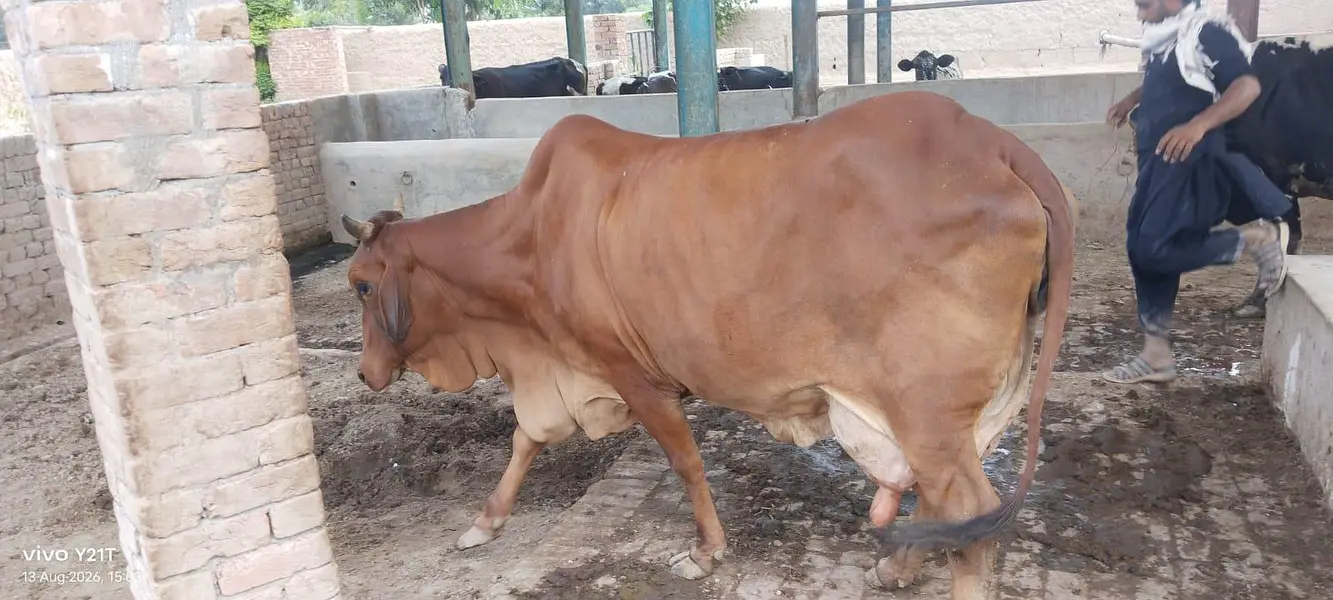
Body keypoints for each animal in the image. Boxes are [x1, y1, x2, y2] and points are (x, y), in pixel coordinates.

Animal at [339, 90, 1074, 599]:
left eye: (360, 285)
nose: (366, 375)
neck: (528, 239)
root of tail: (993, 142)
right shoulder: (564, 372)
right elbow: (526, 440)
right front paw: (484, 523)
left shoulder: (633, 375)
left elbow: (686, 462)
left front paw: (704, 551)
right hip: (934, 415)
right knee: (948, 507)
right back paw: (895, 565)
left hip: (924, 407)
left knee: (971, 512)